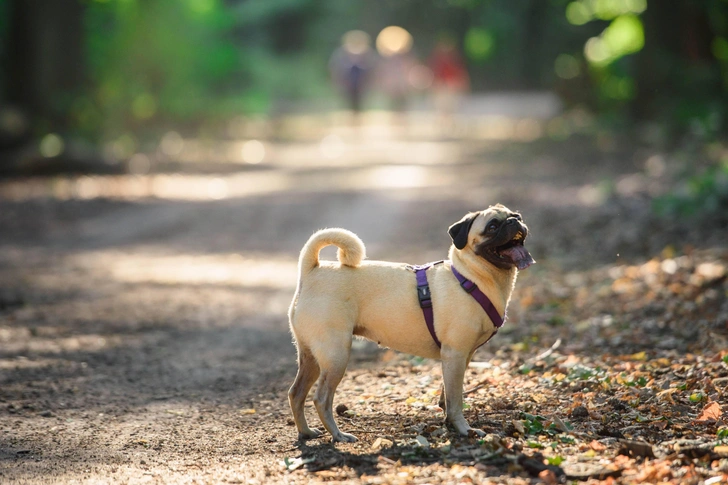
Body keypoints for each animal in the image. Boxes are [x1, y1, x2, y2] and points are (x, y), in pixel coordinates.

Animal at [288, 202, 532, 440]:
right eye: (492, 226)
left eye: (517, 216)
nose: (514, 222)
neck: (470, 277)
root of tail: (313, 269)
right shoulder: (455, 354)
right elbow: (455, 400)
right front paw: (464, 429)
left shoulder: (461, 357)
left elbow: (447, 396)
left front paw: (450, 424)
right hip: (336, 356)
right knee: (321, 399)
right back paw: (338, 435)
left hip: (311, 357)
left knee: (296, 393)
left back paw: (306, 432)